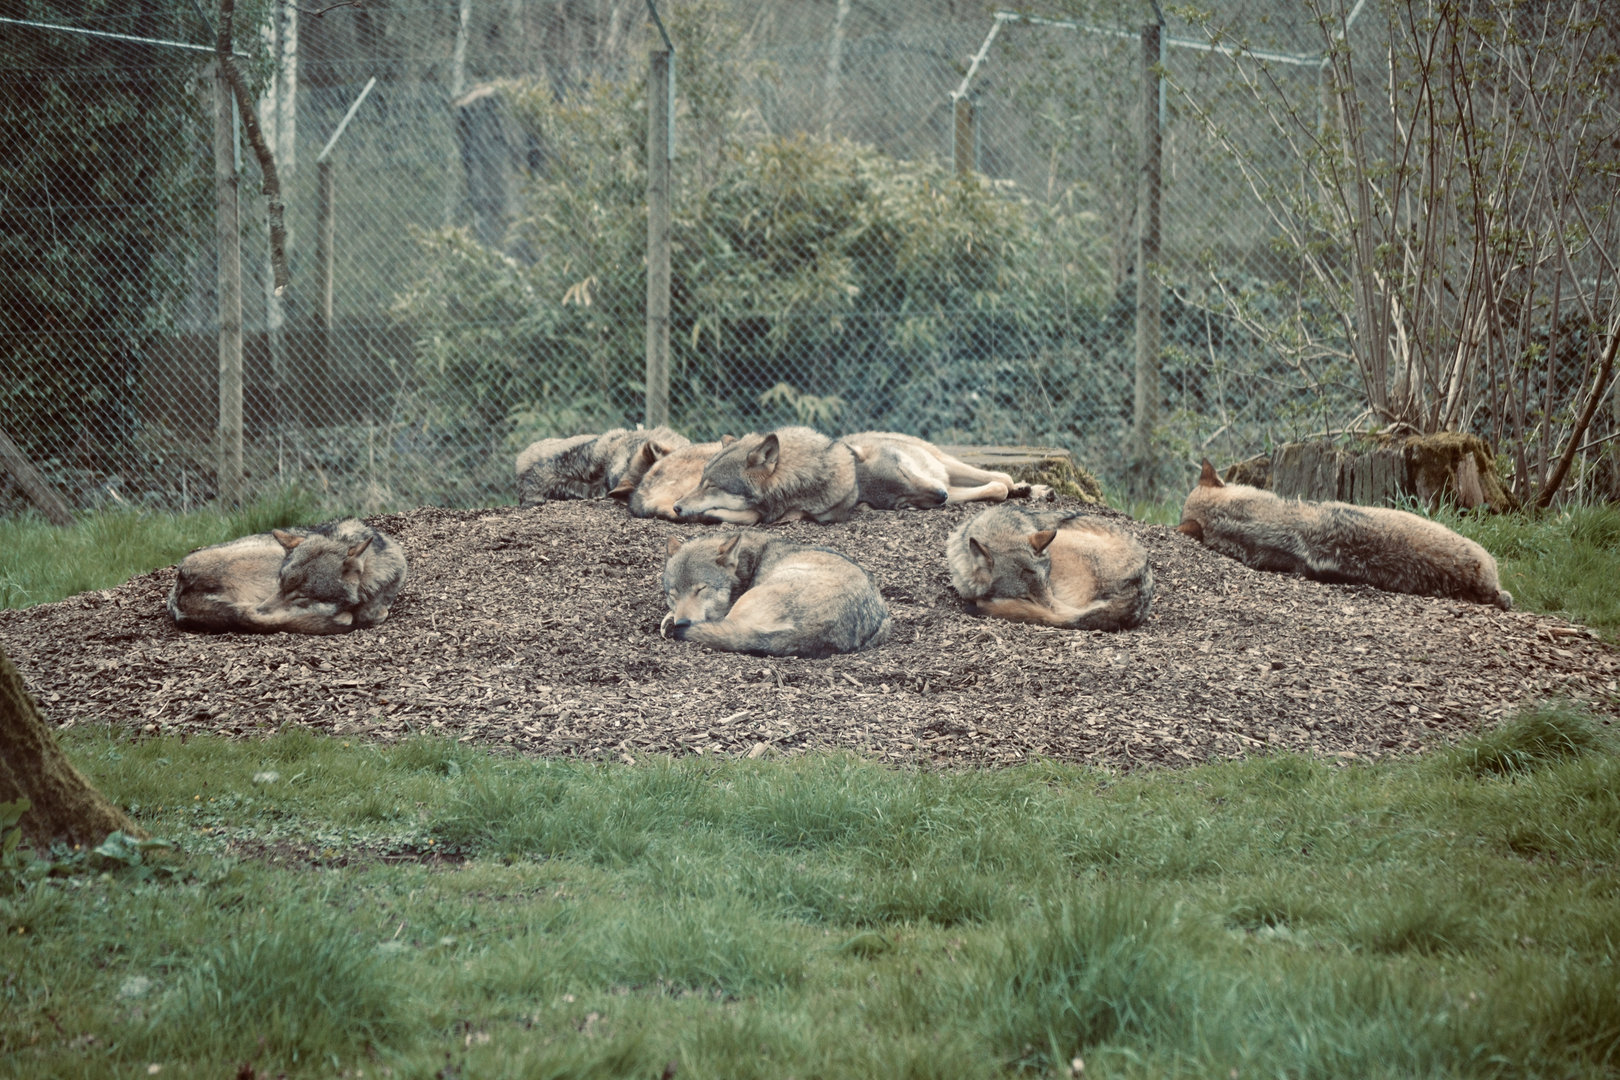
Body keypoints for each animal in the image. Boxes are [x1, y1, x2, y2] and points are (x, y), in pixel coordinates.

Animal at [839, 431, 1044, 508]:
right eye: (904, 504)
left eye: (903, 472)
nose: (941, 496)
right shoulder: (949, 490)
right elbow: (999, 488)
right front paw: (1008, 491)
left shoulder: (943, 465)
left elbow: (1005, 479)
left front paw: (1018, 488)